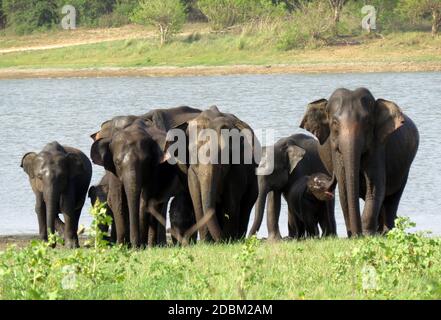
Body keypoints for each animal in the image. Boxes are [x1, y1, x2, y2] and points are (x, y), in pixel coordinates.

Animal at [167, 106, 260, 241]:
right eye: (193, 153)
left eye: (223, 155)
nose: (221, 240)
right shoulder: (192, 172)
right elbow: (197, 200)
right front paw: (207, 242)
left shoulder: (238, 167)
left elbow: (231, 201)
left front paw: (229, 240)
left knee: (246, 204)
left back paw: (237, 238)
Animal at [300, 87, 418, 235]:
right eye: (334, 123)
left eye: (368, 122)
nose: (357, 234)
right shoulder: (336, 152)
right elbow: (344, 189)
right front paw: (354, 235)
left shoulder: (377, 147)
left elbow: (374, 186)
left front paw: (367, 234)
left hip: (404, 169)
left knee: (392, 198)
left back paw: (385, 232)